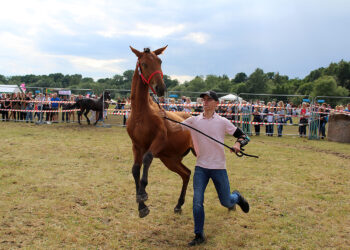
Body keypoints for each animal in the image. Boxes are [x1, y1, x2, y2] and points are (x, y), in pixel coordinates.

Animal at [127, 46, 196, 218]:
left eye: (160, 61)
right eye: (144, 64)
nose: (161, 88)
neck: (141, 113)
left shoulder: (158, 141)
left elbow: (147, 159)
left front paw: (143, 193)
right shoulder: (136, 146)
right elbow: (135, 170)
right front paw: (141, 206)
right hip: (170, 159)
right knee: (186, 173)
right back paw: (178, 205)